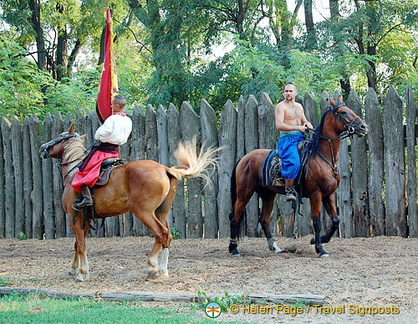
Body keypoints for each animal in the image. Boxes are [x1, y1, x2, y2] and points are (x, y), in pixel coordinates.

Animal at [39, 124, 217, 280]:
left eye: (61, 136)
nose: (42, 147)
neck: (73, 173)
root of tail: (165, 169)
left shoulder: (73, 217)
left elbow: (81, 245)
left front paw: (82, 274)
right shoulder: (86, 219)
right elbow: (78, 244)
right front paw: (74, 270)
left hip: (143, 212)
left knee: (160, 233)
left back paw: (152, 267)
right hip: (161, 212)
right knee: (168, 236)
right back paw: (163, 271)